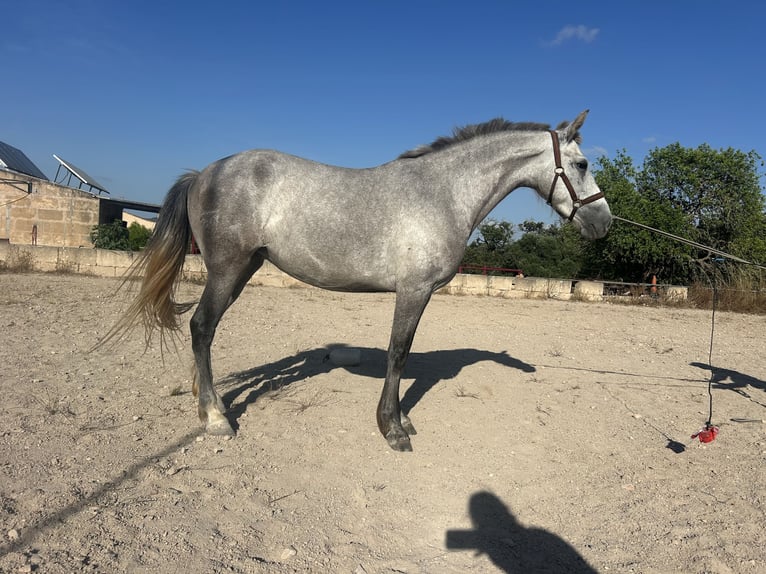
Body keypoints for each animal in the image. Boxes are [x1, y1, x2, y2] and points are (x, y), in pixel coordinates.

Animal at [109, 110, 611, 451]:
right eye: (583, 164)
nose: (603, 223)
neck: (443, 193)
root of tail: (204, 173)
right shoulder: (413, 292)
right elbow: (398, 354)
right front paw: (393, 428)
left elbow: (401, 356)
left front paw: (401, 420)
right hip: (228, 269)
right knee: (201, 327)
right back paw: (215, 417)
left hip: (243, 269)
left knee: (206, 331)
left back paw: (204, 399)